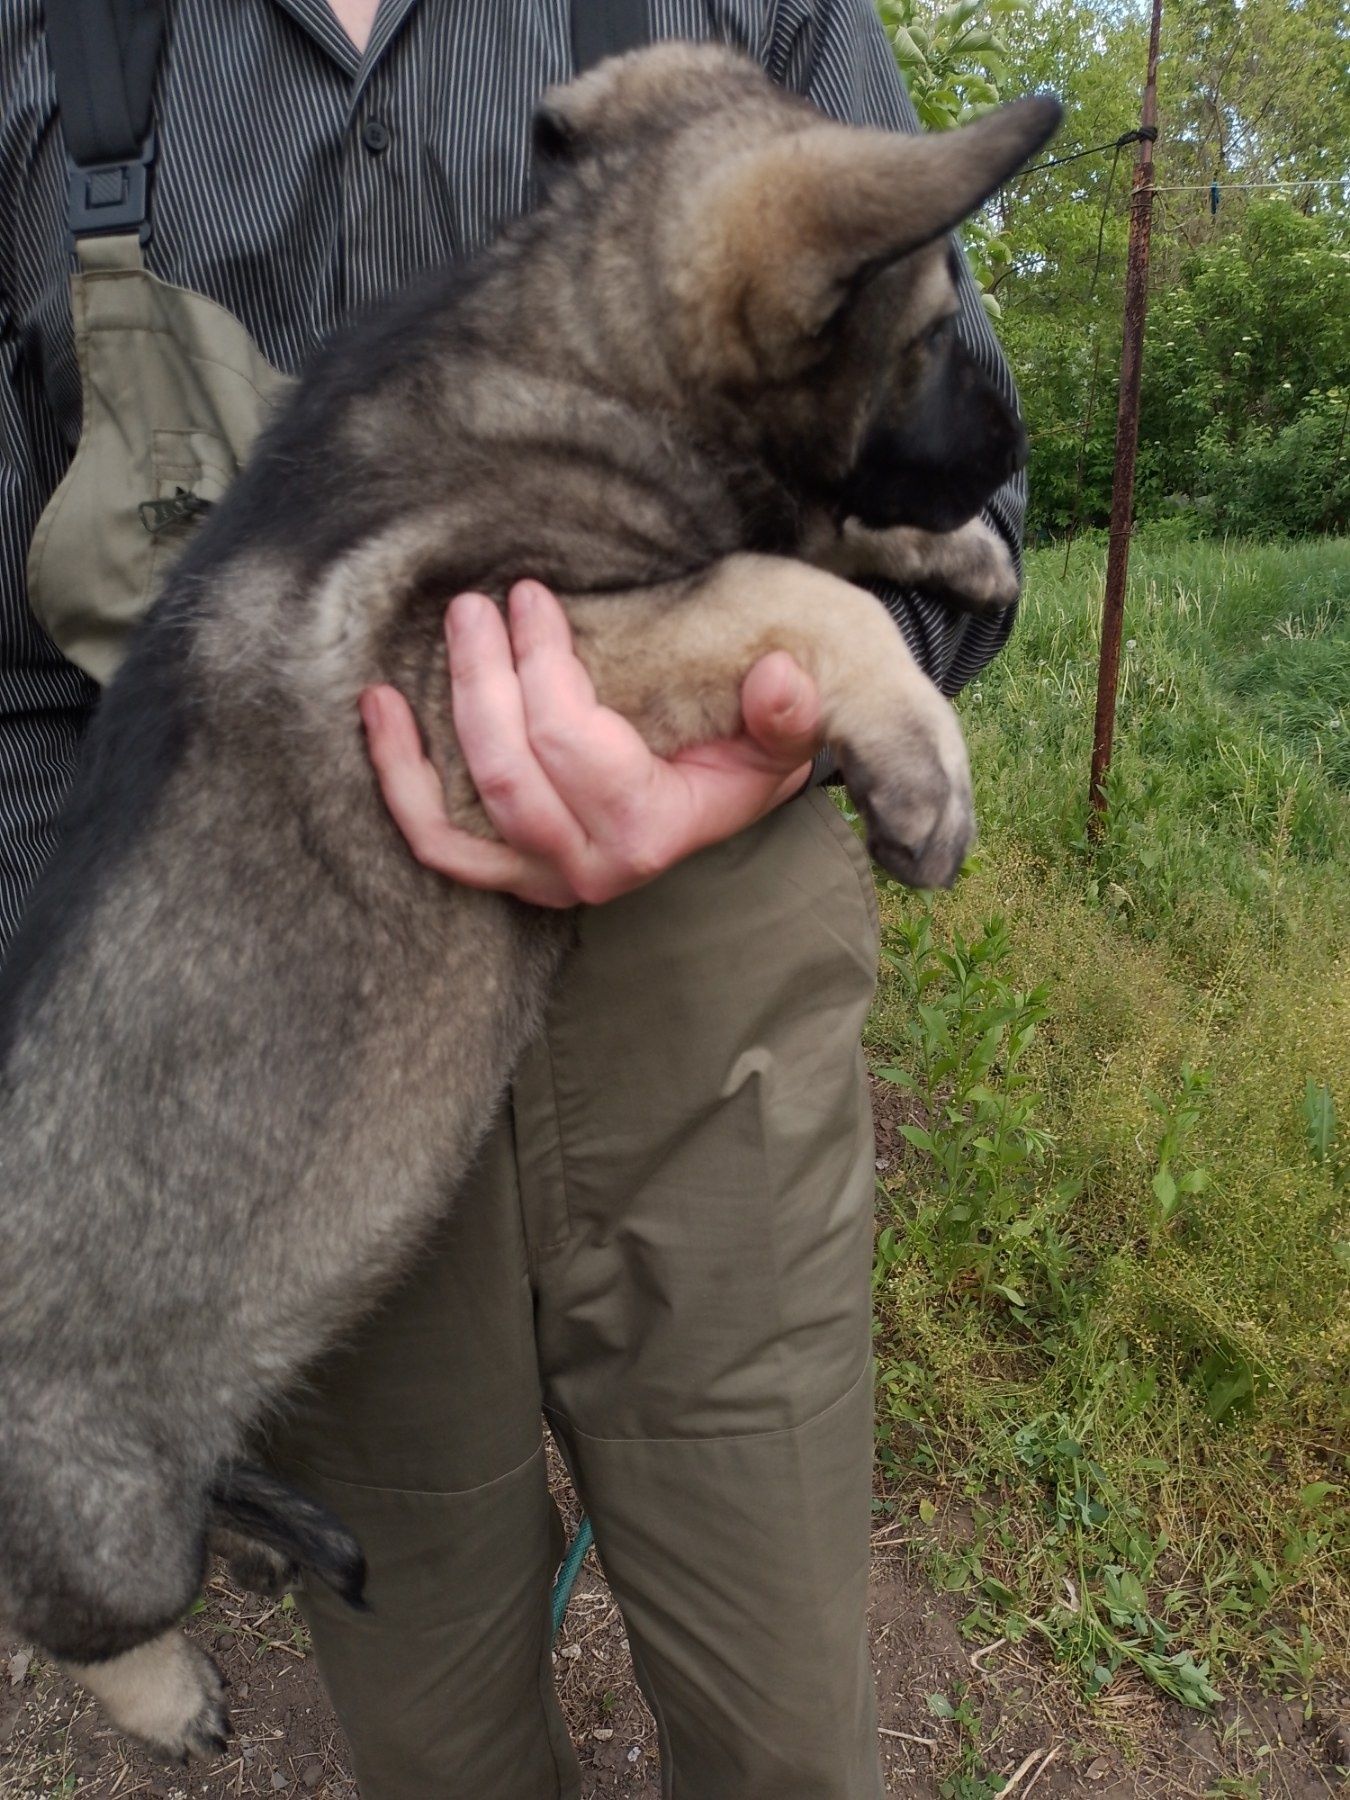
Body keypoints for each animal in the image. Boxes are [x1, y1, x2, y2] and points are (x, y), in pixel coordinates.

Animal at [0, 42, 1058, 1756]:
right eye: (939, 320)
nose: (1015, 449)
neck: (566, 345)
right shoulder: (463, 661)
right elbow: (774, 583)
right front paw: (918, 754)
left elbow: (792, 538)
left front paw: (945, 549)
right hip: (98, 1519)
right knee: (68, 1617)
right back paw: (164, 1694)